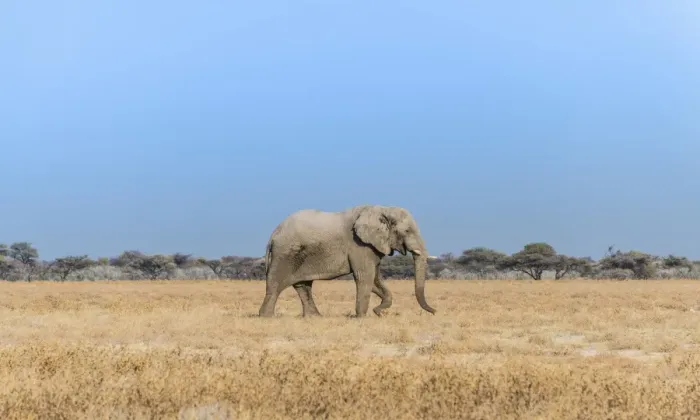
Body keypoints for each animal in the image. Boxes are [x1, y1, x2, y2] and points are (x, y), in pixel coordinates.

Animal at [258, 204, 436, 317]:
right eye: (407, 231)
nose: (434, 312)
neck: (383, 208)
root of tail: (273, 235)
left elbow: (374, 278)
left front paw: (377, 310)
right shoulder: (359, 245)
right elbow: (364, 276)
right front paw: (363, 317)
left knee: (303, 286)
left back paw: (315, 317)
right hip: (285, 254)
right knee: (275, 285)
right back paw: (266, 317)